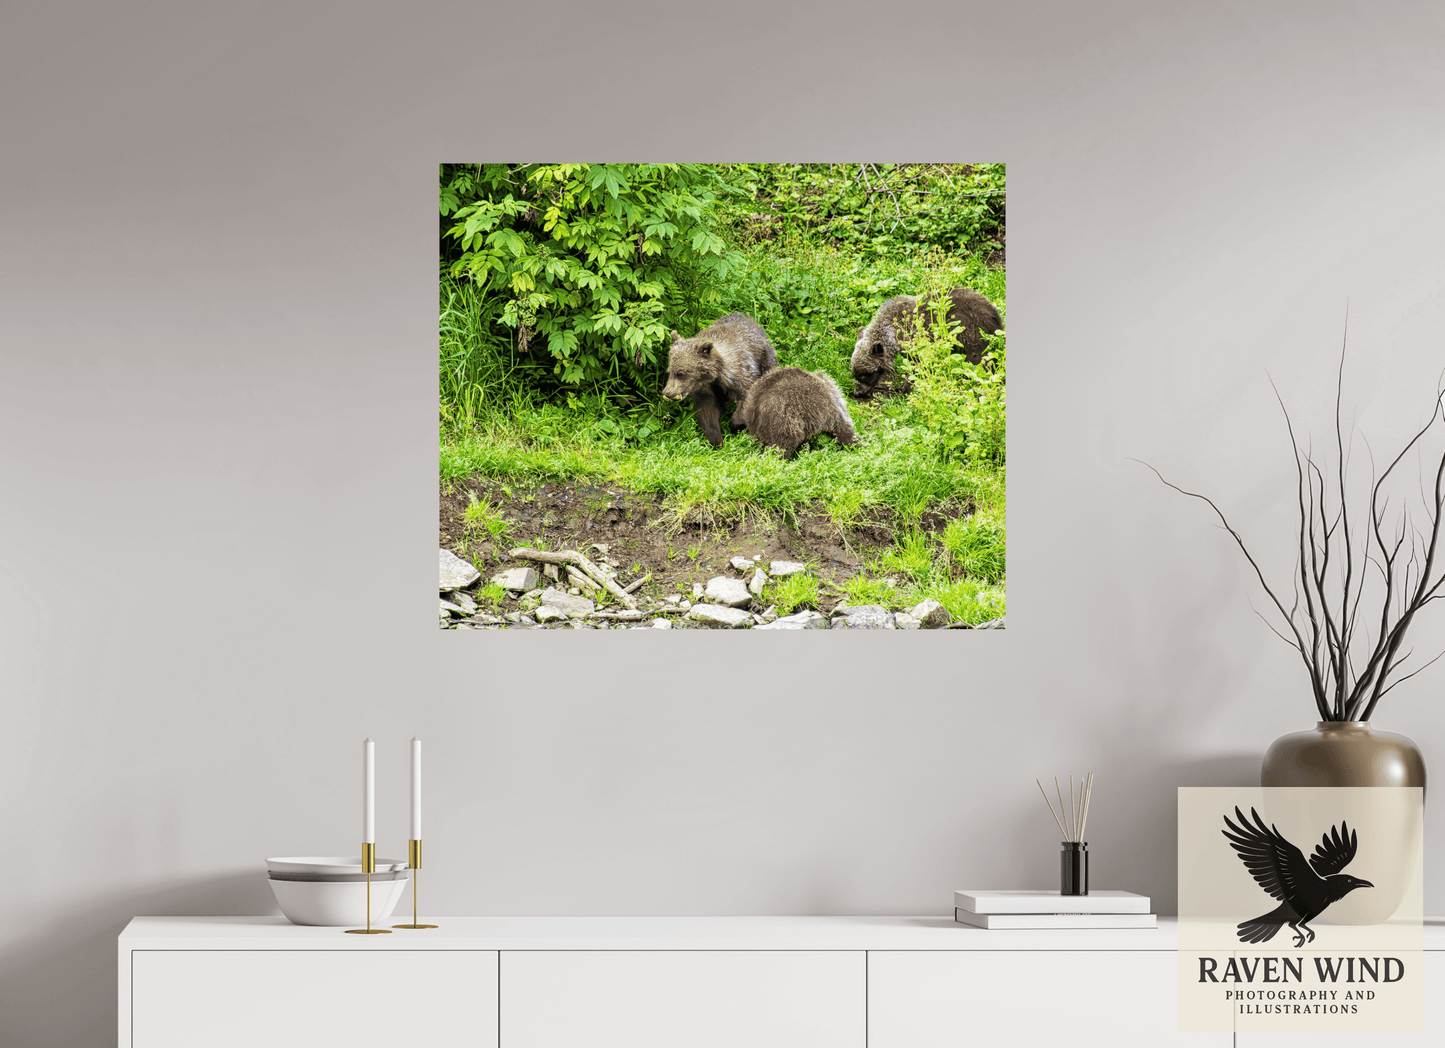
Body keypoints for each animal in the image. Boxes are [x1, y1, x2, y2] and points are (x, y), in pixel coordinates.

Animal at [661, 313, 778, 447]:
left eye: (681, 373)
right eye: (670, 371)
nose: (667, 392)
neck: (715, 375)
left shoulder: (742, 376)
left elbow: (746, 399)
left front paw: (736, 427)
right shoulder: (705, 390)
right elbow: (708, 412)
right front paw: (715, 440)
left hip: (766, 360)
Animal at [849, 286, 1002, 398]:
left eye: (866, 375)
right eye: (855, 373)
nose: (857, 393)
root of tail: (994, 314)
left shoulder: (915, 342)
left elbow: (917, 366)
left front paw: (906, 388)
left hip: (971, 335)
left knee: (980, 361)